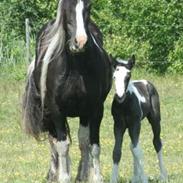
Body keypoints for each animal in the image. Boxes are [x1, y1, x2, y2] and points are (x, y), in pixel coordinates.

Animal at [22, 0, 112, 182]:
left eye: (88, 8)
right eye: (67, 9)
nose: (80, 42)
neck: (76, 68)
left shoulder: (94, 109)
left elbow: (91, 144)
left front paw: (91, 176)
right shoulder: (56, 110)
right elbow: (62, 146)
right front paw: (64, 176)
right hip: (49, 115)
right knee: (54, 141)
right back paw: (54, 173)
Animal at [110, 55, 167, 183]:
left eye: (128, 76)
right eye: (114, 76)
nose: (119, 96)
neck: (124, 105)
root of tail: (147, 82)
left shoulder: (134, 124)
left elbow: (137, 151)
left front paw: (144, 178)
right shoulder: (118, 125)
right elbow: (117, 151)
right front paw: (113, 179)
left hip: (155, 120)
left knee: (156, 142)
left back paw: (163, 175)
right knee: (133, 145)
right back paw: (135, 177)